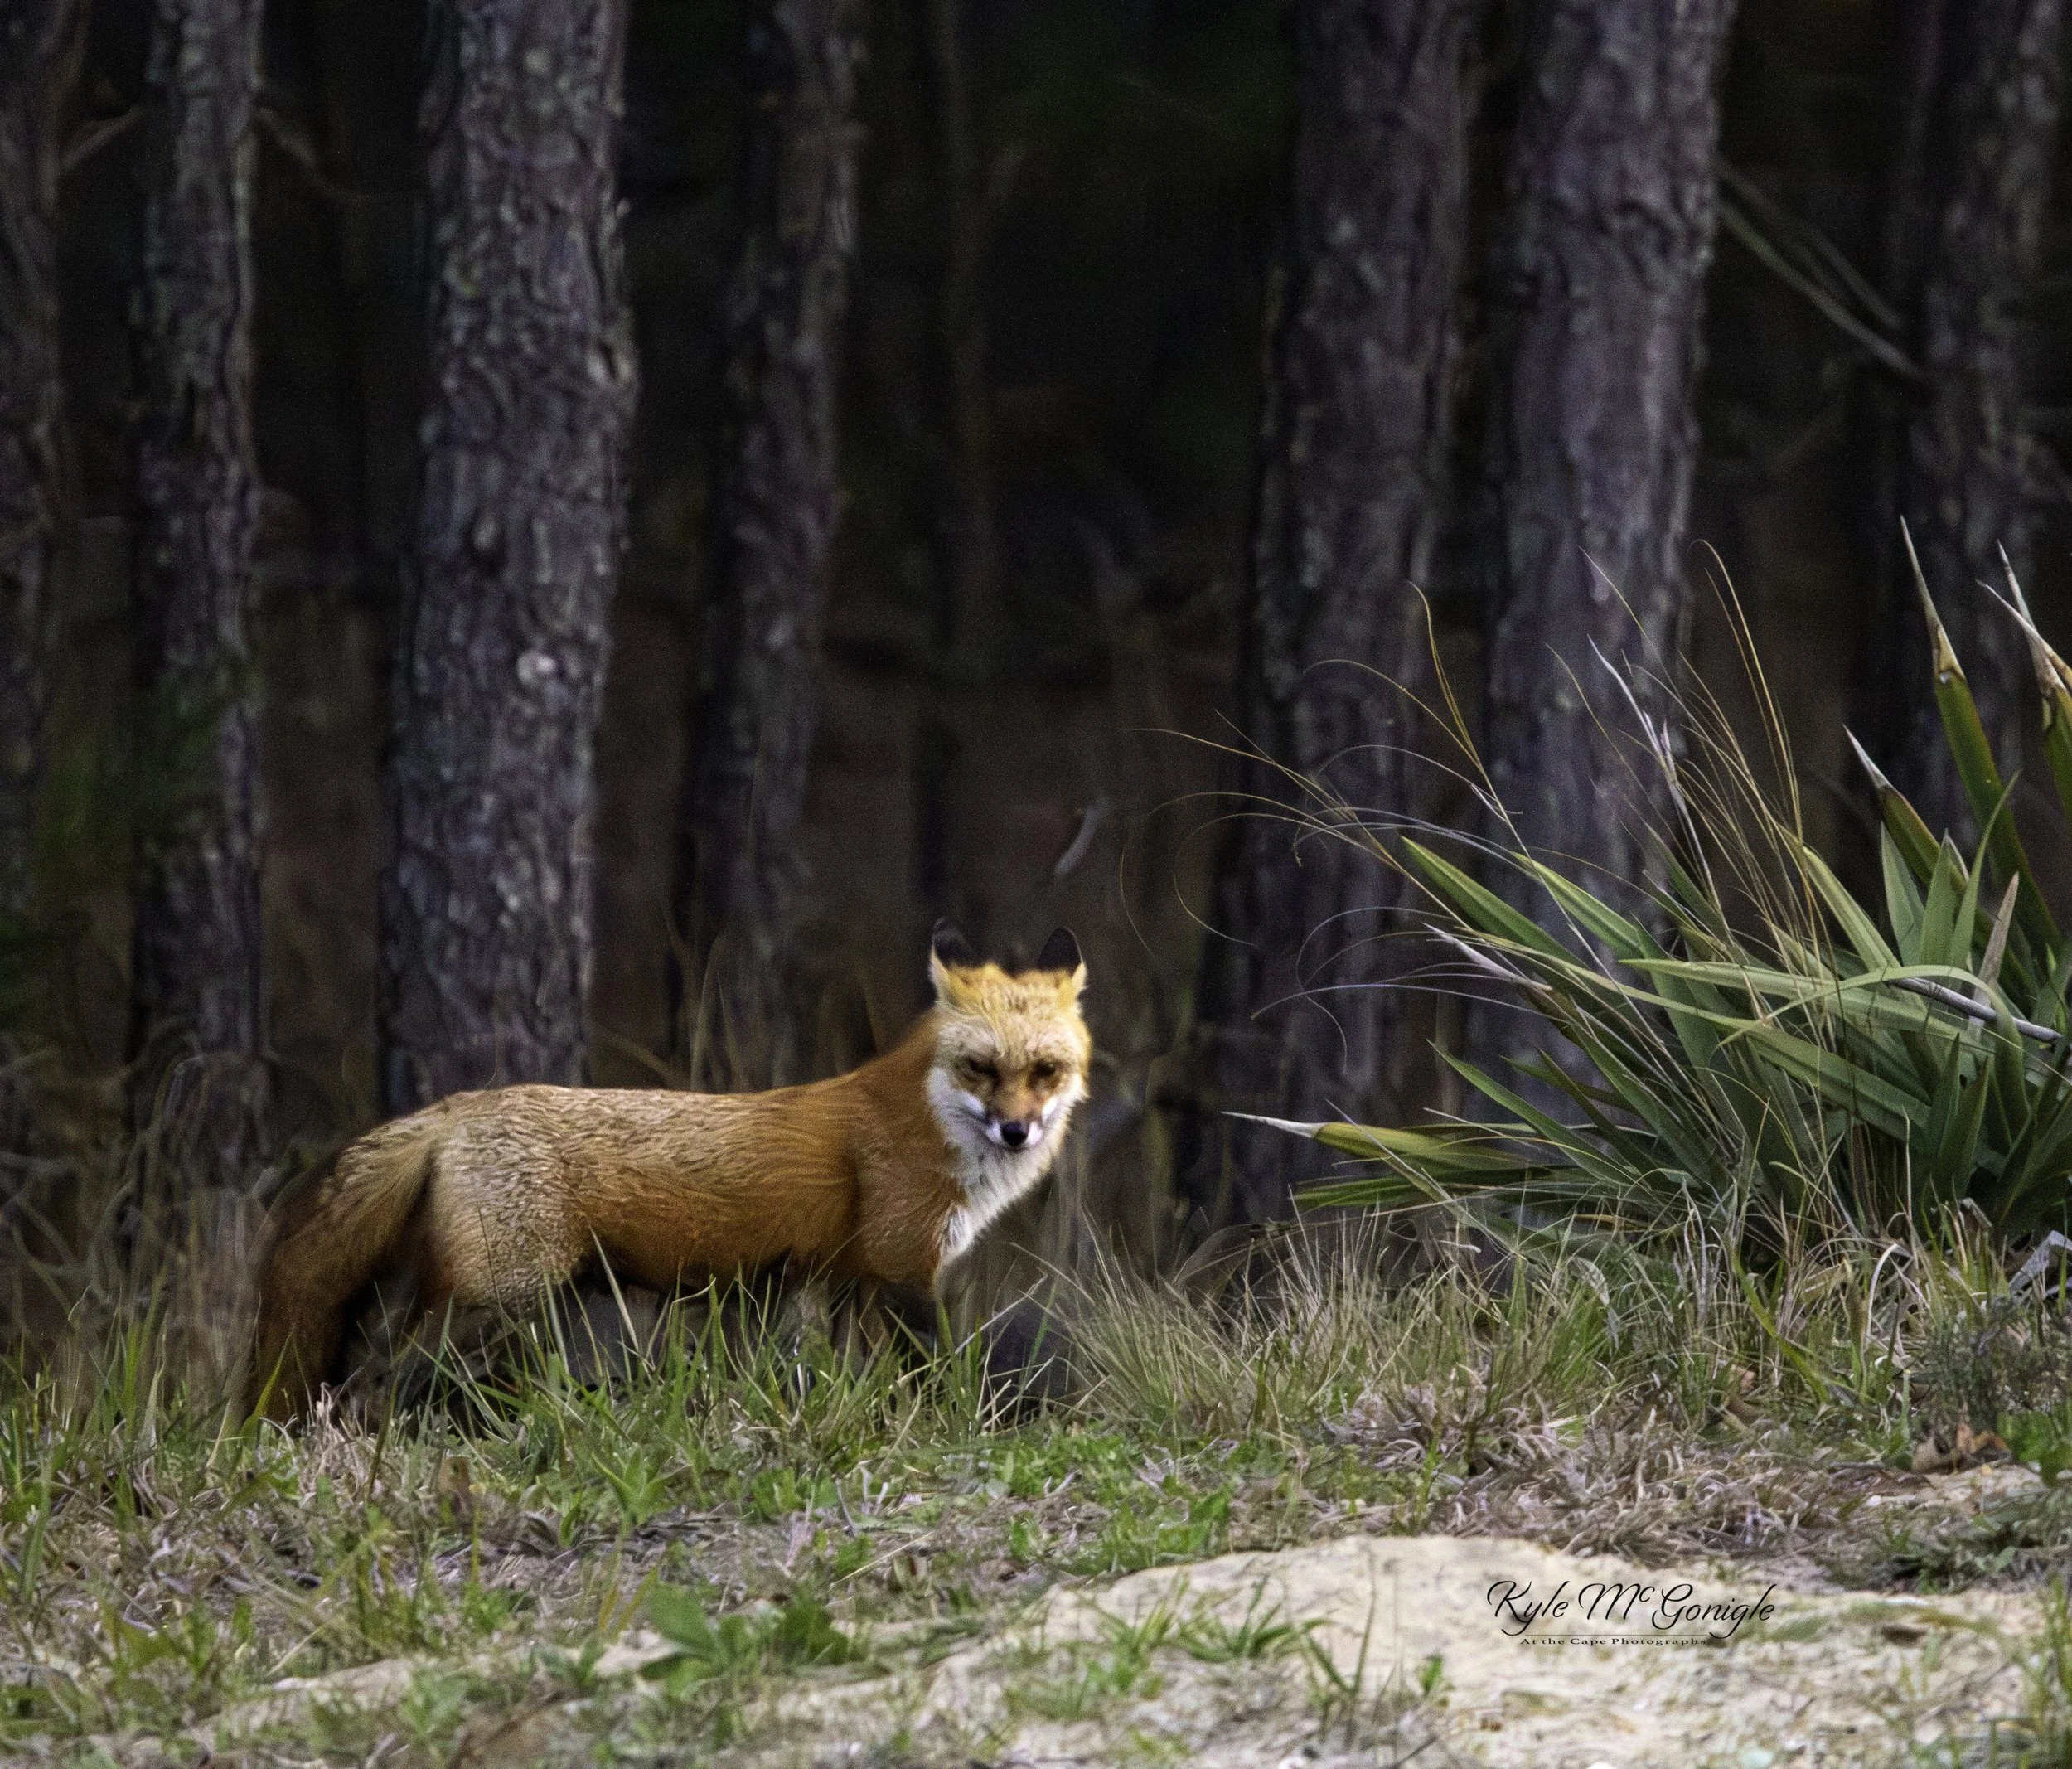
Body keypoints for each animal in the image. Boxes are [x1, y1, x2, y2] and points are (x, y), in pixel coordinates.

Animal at [250, 923, 1091, 1419]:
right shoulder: (904, 1270)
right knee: (375, 1386)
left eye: (1045, 1071)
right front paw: (970, 1429)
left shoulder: (839, 1283)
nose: (1017, 1132)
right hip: (495, 1303)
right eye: (981, 1068)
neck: (920, 1123)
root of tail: (459, 1108)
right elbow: (944, 1377)